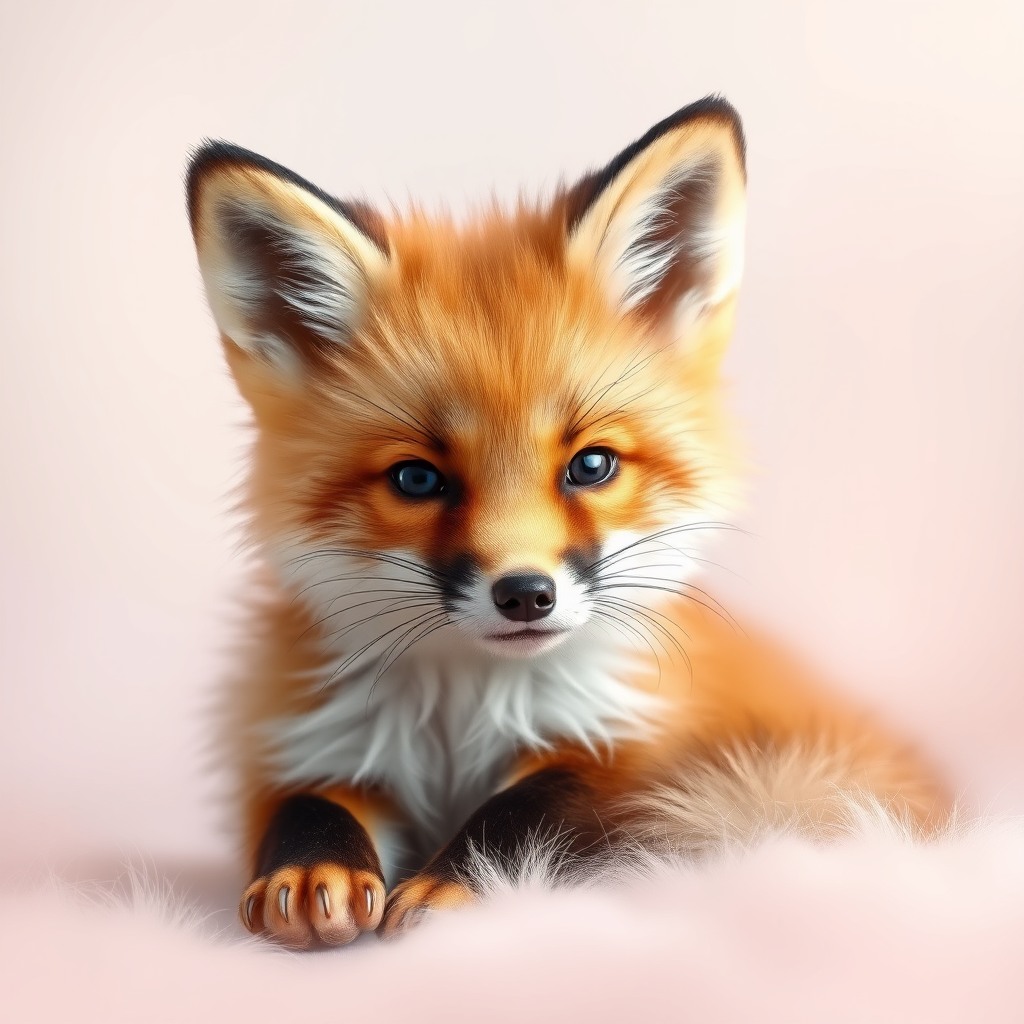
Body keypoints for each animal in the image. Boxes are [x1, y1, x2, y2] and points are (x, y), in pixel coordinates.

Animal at [185, 96, 948, 948]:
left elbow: (537, 805)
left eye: (591, 466)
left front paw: (463, 881)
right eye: (417, 478)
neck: (465, 719)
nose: (525, 594)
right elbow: (307, 800)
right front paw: (311, 865)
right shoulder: (301, 735)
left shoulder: (633, 740)